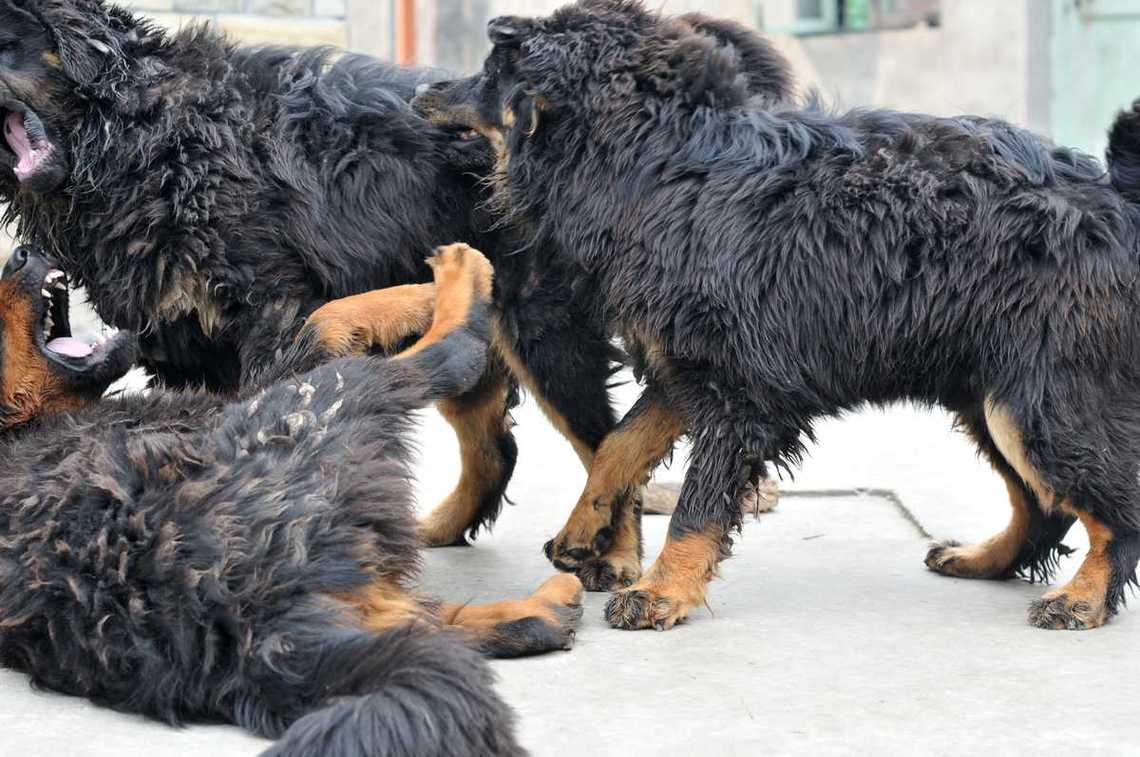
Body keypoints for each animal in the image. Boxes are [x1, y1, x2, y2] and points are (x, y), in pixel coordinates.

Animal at [0, 243, 583, 756]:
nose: (22, 253)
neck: (27, 424)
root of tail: (246, 630)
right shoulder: (263, 390)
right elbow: (322, 319)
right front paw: (421, 295)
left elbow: (322, 319)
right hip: (319, 403)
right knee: (435, 361)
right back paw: (463, 283)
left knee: (449, 629)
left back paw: (548, 605)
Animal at [417, 0, 1140, 629]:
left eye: (491, 70)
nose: (422, 87)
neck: (657, 163)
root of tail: (1116, 198)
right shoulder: (684, 364)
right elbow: (618, 446)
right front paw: (583, 530)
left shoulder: (740, 387)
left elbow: (696, 502)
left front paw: (662, 591)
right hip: (990, 387)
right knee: (1043, 504)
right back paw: (984, 558)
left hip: (1041, 394)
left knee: (1112, 505)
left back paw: (1081, 598)